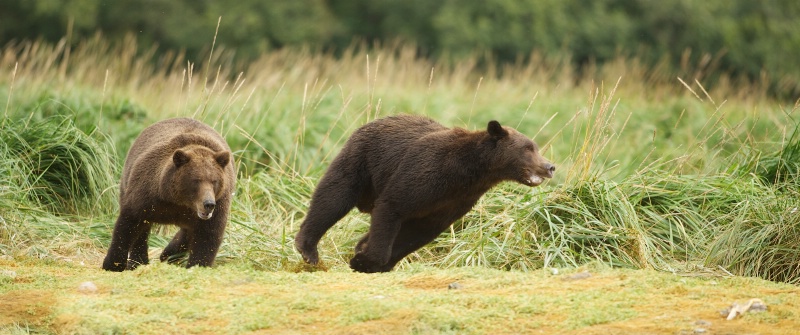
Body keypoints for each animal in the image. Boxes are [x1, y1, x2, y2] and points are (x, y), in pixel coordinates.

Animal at [101, 118, 236, 272]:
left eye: (214, 181)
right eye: (196, 180)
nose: (208, 204)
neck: (178, 201)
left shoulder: (218, 203)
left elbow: (208, 235)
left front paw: (197, 264)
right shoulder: (148, 194)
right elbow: (128, 223)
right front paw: (112, 264)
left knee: (187, 232)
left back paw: (168, 254)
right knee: (142, 231)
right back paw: (139, 261)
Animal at [296, 115, 556, 272]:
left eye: (535, 147)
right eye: (528, 148)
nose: (550, 166)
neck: (467, 173)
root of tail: (368, 123)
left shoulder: (453, 201)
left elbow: (420, 231)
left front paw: (370, 257)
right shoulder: (425, 174)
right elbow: (392, 207)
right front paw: (365, 261)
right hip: (361, 161)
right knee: (334, 196)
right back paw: (308, 249)